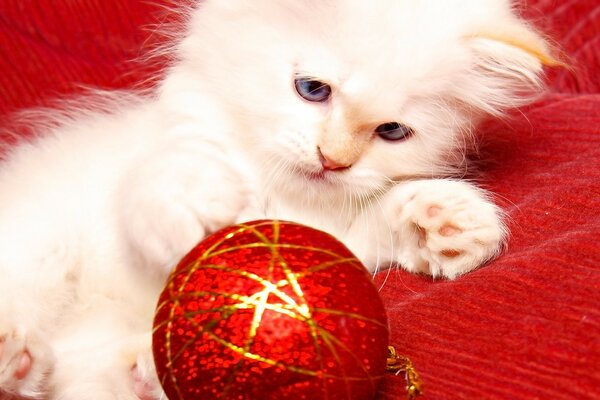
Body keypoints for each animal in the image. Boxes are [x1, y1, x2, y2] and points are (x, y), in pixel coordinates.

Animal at [0, 0, 556, 398]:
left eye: (392, 131)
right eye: (312, 89)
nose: (333, 160)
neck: (281, 195)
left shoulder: (330, 242)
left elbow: (373, 225)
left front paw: (444, 222)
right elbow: (157, 199)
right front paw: (201, 203)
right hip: (39, 247)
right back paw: (16, 352)